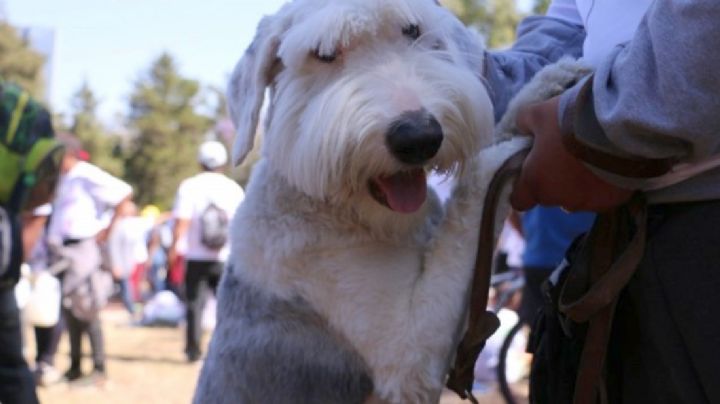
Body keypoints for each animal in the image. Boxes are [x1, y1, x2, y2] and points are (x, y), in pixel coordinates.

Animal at [195, 0, 528, 404]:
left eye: (412, 31)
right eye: (324, 54)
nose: (418, 136)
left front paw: (553, 84)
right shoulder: (409, 350)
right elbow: (472, 200)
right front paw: (514, 146)